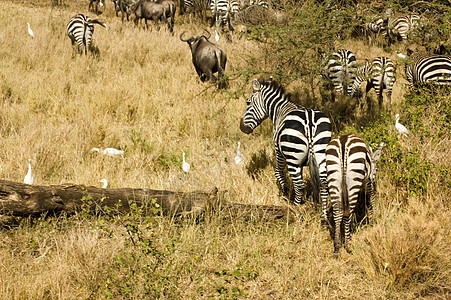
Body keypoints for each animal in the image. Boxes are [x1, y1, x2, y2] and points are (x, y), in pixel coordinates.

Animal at [240, 78, 332, 221]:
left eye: (248, 102)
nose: (242, 128)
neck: (279, 109)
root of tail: (309, 122)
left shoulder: (278, 151)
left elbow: (278, 172)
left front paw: (285, 192)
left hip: (292, 156)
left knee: (299, 184)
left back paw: (294, 209)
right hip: (321, 154)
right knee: (323, 184)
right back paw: (324, 216)